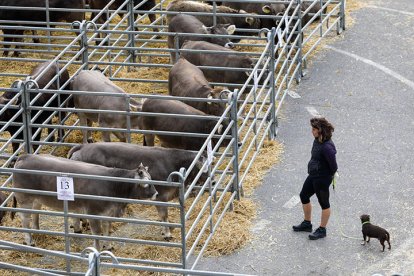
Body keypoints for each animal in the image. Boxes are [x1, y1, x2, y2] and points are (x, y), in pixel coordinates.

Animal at [11, 154, 158, 249]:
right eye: (146, 184)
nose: (156, 194)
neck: (112, 184)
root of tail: (26, 156)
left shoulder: (108, 213)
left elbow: (107, 229)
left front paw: (108, 246)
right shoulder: (93, 213)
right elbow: (97, 233)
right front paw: (97, 249)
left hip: (37, 199)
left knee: (35, 213)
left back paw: (37, 231)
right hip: (25, 198)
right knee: (25, 219)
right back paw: (29, 240)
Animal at [68, 142, 210, 239]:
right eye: (204, 167)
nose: (212, 181)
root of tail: (82, 146)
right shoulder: (161, 197)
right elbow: (164, 215)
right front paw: (167, 234)